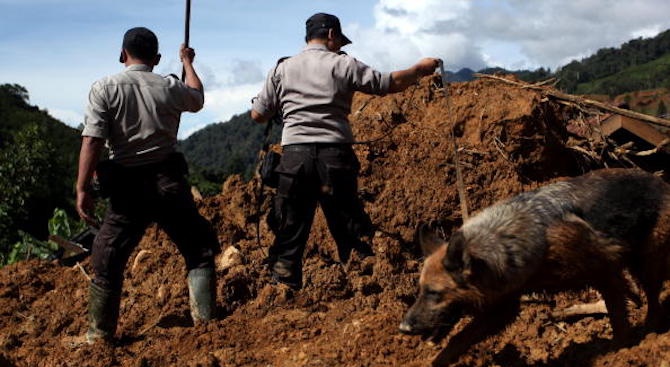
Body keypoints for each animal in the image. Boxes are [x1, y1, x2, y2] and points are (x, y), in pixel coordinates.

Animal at [402, 168, 668, 366]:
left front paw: (619, 351)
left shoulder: (602, 269)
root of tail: (660, 181)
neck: (504, 247)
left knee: (653, 297)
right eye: (420, 291)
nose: (403, 328)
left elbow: (617, 315)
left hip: (649, 261)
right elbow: (458, 339)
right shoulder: (503, 306)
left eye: (434, 293)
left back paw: (652, 332)